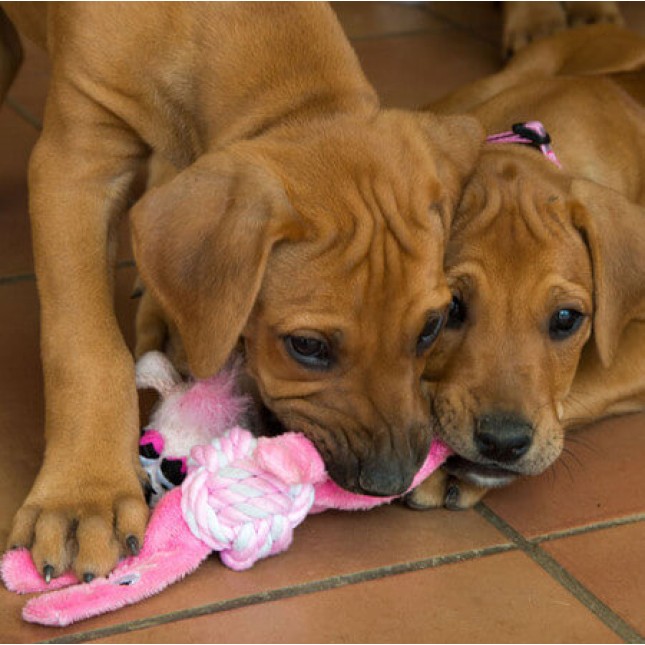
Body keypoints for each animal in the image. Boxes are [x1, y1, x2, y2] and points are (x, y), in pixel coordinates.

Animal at [1, 2, 484, 580]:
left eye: (432, 327)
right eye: (308, 347)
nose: (389, 481)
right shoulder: (75, 161)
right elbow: (86, 348)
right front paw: (82, 496)